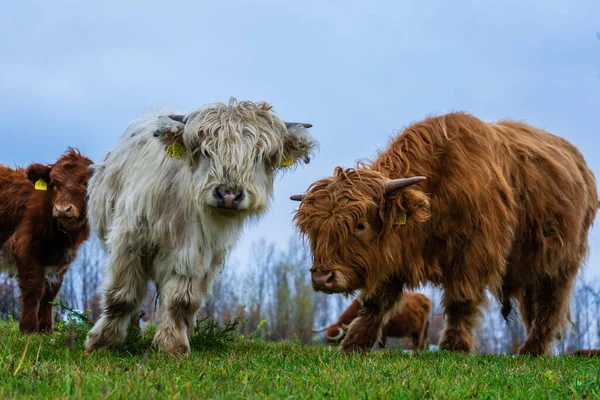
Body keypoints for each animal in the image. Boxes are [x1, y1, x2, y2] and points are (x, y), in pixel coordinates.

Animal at [0, 148, 92, 332]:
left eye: (85, 183)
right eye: (55, 184)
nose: (62, 209)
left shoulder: (61, 261)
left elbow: (50, 293)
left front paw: (45, 329)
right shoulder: (25, 248)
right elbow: (33, 289)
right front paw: (28, 329)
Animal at [86, 99, 318, 354]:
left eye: (259, 156)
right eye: (206, 152)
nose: (229, 195)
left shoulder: (196, 252)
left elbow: (182, 300)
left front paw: (173, 345)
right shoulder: (129, 240)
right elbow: (122, 295)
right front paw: (102, 342)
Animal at [290, 112, 596, 356]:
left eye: (360, 225)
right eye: (314, 229)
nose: (322, 278)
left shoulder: (474, 251)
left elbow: (461, 300)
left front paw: (455, 347)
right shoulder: (391, 253)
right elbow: (375, 302)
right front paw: (355, 344)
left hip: (561, 263)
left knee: (551, 304)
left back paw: (532, 350)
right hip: (527, 267)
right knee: (533, 307)